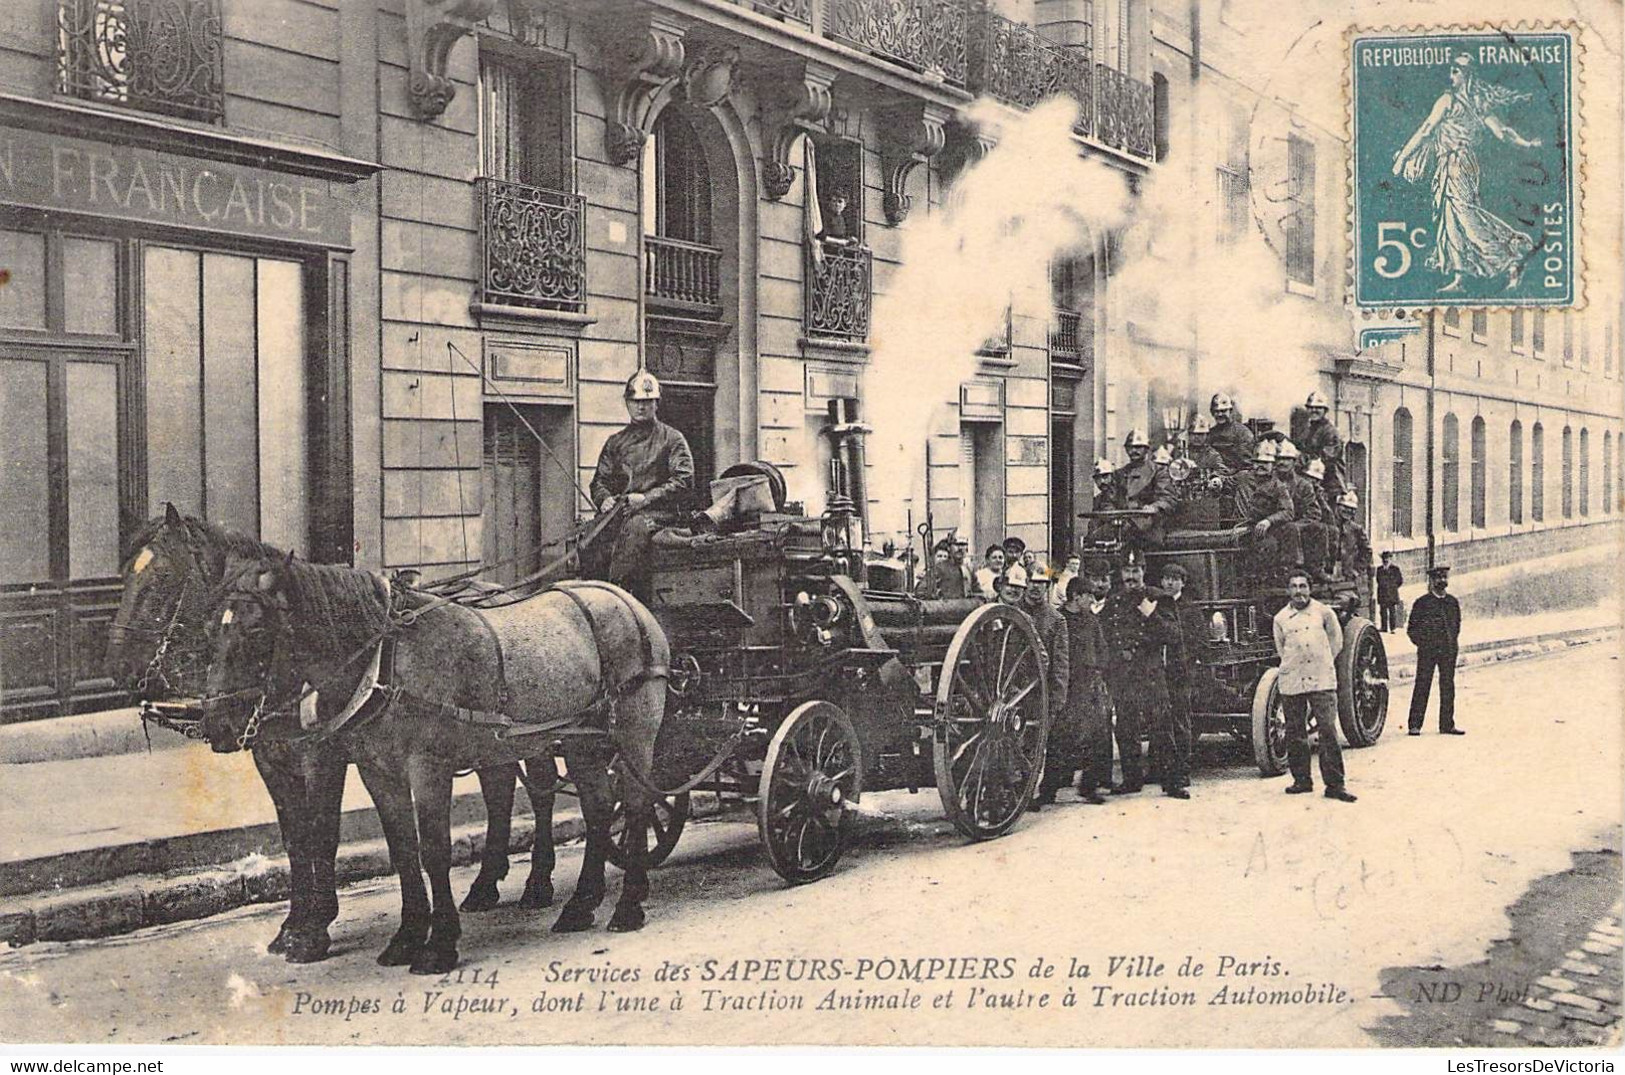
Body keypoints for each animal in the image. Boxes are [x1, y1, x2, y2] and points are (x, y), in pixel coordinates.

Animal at [104, 509, 559, 961]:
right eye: (125, 575)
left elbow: (322, 833)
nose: (119, 668)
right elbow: (295, 839)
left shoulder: (322, 757)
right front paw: (293, 924)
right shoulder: (272, 759)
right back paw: (486, 884)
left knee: (540, 790)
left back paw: (537, 882)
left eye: (163, 577)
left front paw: (315, 927)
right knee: (499, 789)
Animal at [199, 548, 669, 974]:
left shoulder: (425, 767)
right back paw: (579, 905)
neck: (386, 658)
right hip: (578, 741)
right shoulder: (377, 771)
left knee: (636, 804)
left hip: (634, 732)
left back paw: (627, 904)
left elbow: (433, 850)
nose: (215, 724)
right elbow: (403, 849)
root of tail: (625, 599)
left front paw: (439, 944)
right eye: (209, 630)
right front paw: (406, 937)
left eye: (257, 630)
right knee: (597, 807)